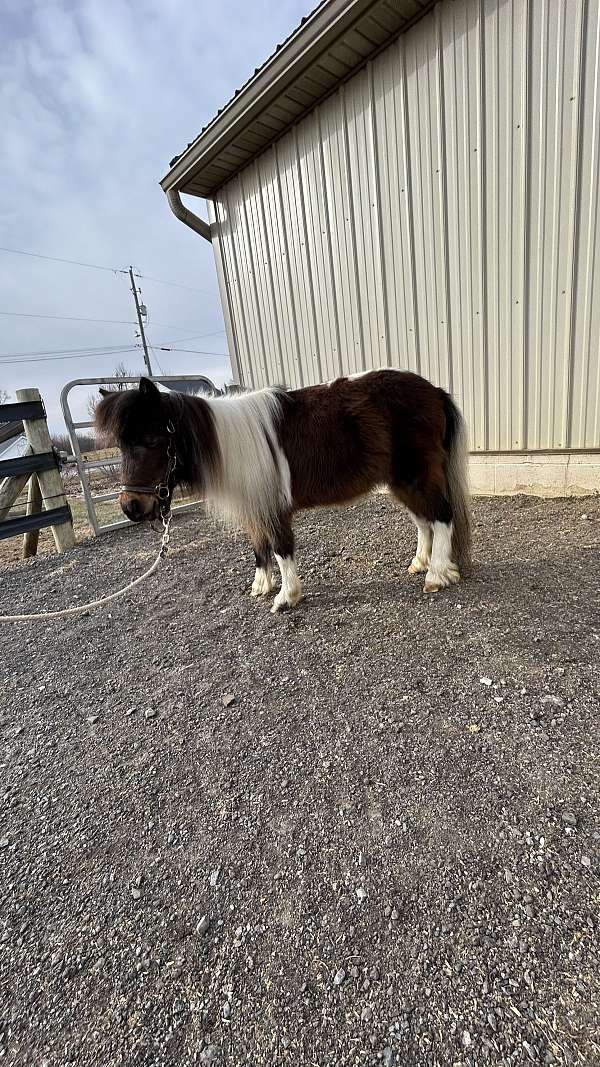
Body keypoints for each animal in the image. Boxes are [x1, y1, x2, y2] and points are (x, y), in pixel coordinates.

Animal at [95, 373, 471, 610]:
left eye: (151, 440)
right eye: (121, 444)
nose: (131, 506)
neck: (232, 444)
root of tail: (435, 391)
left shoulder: (273, 508)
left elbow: (280, 548)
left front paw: (287, 597)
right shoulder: (255, 506)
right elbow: (258, 546)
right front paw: (261, 586)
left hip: (416, 476)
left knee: (441, 518)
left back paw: (436, 575)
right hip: (401, 481)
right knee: (423, 521)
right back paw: (420, 564)